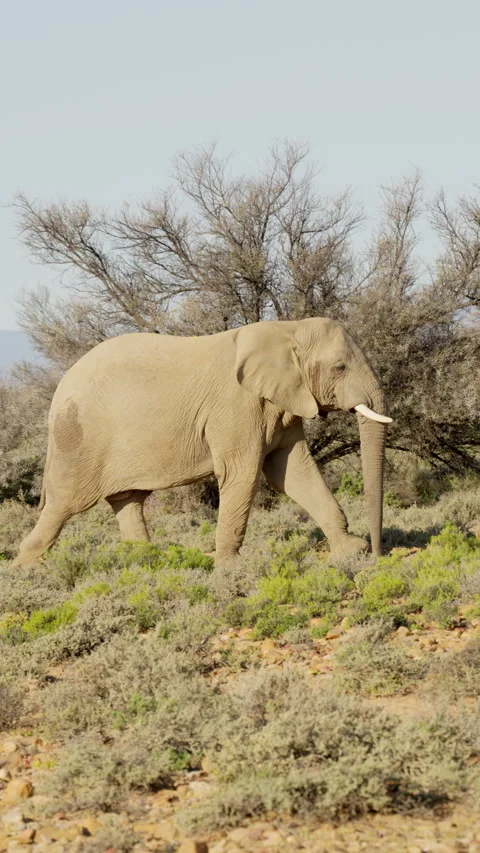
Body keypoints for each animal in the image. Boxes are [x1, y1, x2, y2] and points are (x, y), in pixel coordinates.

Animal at [15, 318, 391, 567]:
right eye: (340, 367)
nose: (379, 554)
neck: (287, 328)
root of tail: (58, 391)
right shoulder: (235, 409)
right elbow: (243, 475)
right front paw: (228, 568)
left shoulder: (281, 406)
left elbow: (293, 472)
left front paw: (350, 552)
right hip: (78, 441)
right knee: (61, 507)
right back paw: (27, 572)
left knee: (128, 502)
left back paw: (148, 566)